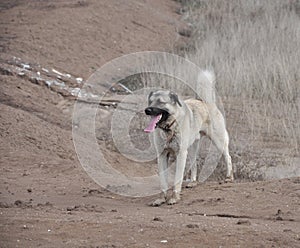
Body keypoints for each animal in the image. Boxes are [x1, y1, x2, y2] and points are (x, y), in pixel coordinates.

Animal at [144, 70, 233, 206]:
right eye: (150, 101)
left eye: (161, 102)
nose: (147, 110)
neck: (170, 128)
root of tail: (204, 101)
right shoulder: (162, 155)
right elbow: (163, 181)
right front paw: (161, 198)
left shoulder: (181, 154)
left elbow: (177, 179)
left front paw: (174, 198)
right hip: (191, 149)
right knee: (194, 163)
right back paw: (193, 182)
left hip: (219, 142)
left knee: (228, 157)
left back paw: (229, 177)